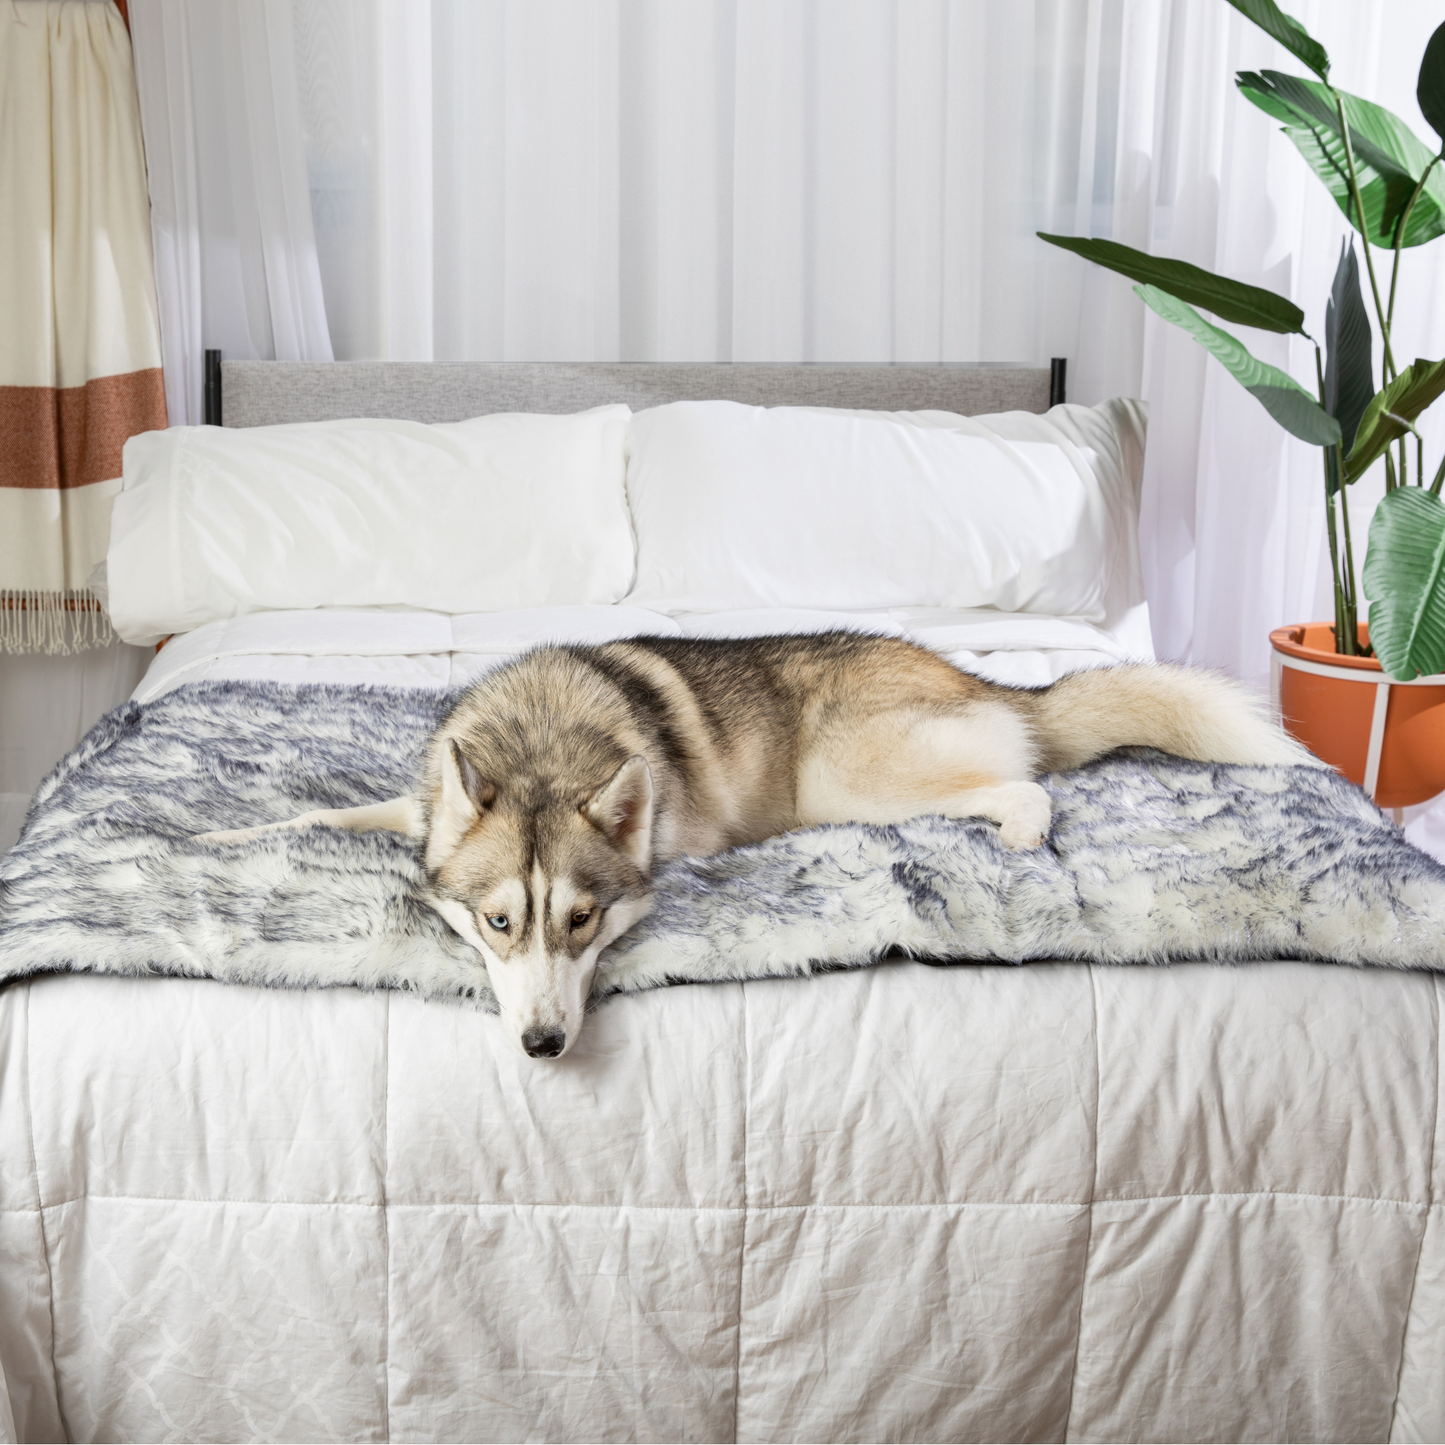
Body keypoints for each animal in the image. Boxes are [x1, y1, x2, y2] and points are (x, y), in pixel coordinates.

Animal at [197, 632, 1314, 1059]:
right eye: (499, 921)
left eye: (582, 919)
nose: (544, 1044)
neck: (546, 738)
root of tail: (976, 676)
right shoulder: (419, 807)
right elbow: (315, 819)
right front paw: (214, 829)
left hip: (843, 775)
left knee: (1027, 784)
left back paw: (1018, 832)